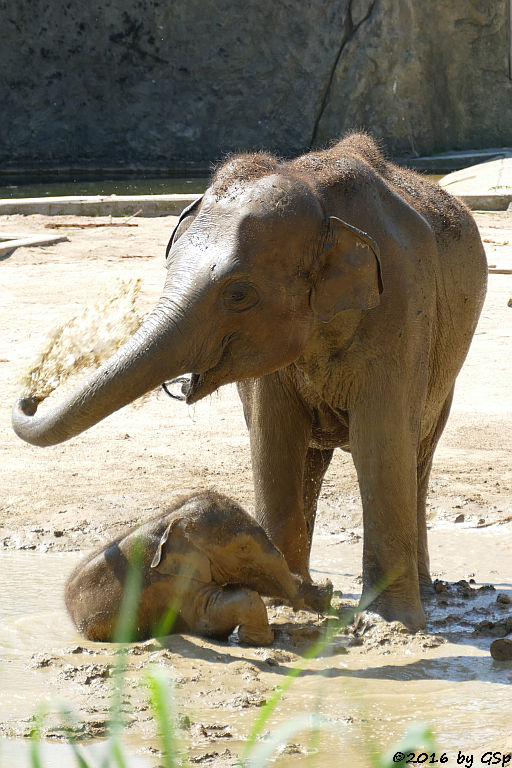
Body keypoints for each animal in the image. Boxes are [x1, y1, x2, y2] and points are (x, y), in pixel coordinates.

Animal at [65, 492, 332, 640]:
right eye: (244, 548)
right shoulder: (168, 582)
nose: (328, 593)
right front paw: (260, 640)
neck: (172, 516)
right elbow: (208, 618)